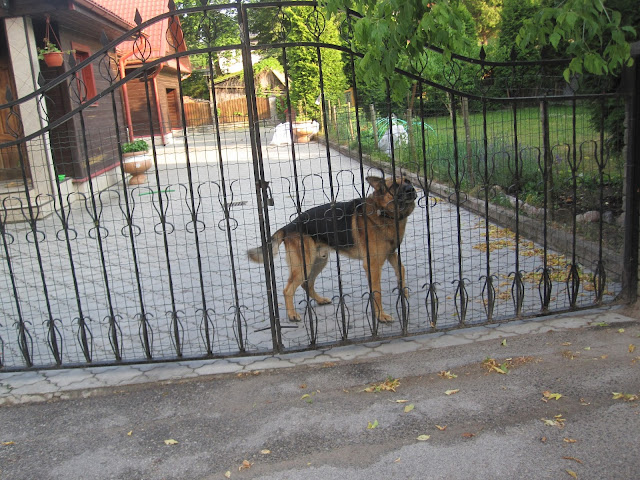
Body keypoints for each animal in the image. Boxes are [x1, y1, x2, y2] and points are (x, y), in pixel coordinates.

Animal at [248, 174, 418, 324]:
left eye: (408, 181)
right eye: (394, 185)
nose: (411, 189)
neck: (383, 212)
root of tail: (288, 226)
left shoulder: (391, 253)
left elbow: (401, 268)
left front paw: (403, 291)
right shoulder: (373, 265)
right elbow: (377, 292)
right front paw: (381, 316)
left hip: (318, 261)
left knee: (307, 284)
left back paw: (319, 300)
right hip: (304, 264)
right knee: (288, 289)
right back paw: (292, 315)